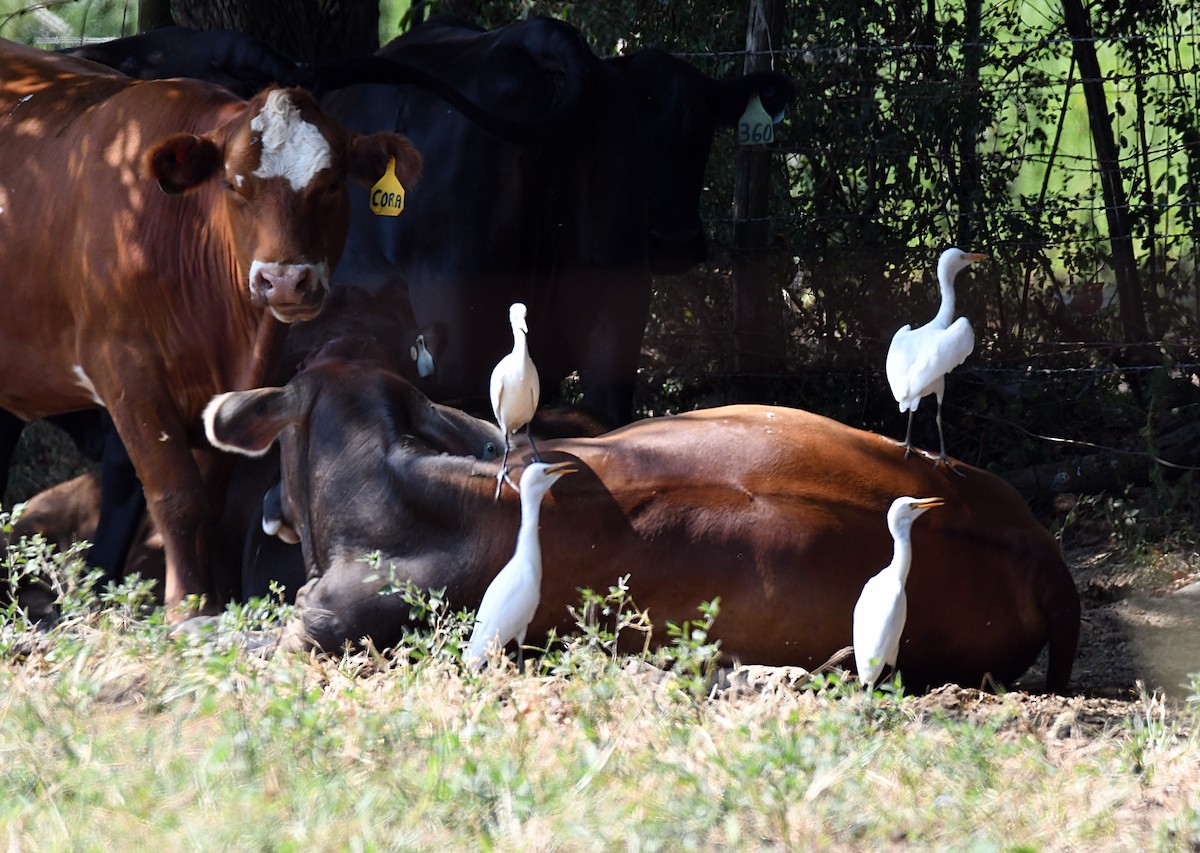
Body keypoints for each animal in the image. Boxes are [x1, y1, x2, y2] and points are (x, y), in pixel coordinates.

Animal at [0, 40, 422, 619]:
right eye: (233, 185)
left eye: (332, 184)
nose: (284, 281)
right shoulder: (124, 371)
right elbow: (178, 496)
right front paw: (188, 610)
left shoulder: (233, 385)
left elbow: (213, 495)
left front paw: (212, 601)